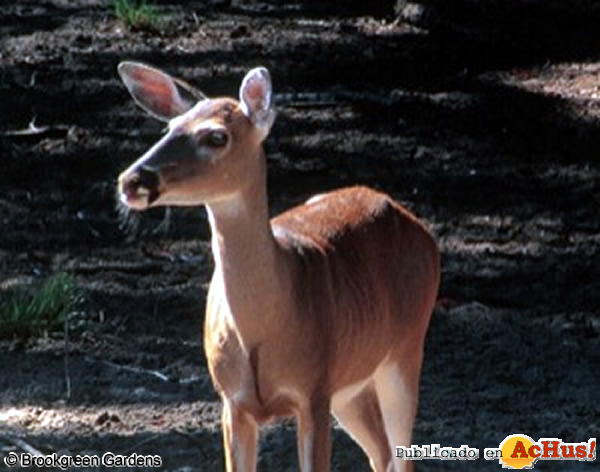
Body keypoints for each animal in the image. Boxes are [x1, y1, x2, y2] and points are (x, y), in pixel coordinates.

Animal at [116, 63, 440, 472]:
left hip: (406, 348)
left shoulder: (313, 391)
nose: (132, 180)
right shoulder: (232, 402)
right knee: (380, 451)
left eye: (217, 136)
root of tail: (418, 227)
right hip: (351, 382)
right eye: (170, 128)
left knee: (401, 452)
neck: (265, 328)